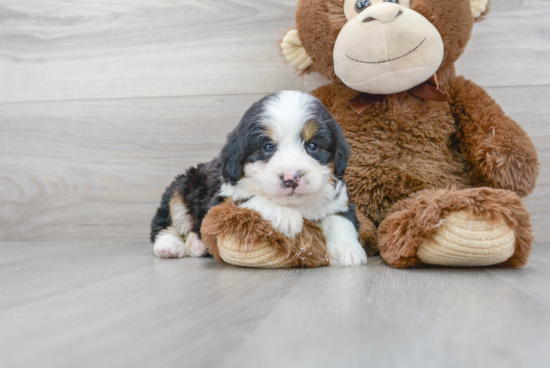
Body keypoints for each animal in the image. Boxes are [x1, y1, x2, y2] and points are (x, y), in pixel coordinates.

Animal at [149, 90, 368, 266]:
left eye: (313, 146)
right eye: (268, 147)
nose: (291, 178)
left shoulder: (339, 200)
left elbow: (340, 220)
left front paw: (347, 250)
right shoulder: (222, 199)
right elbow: (253, 199)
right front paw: (286, 216)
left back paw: (197, 245)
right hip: (181, 185)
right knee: (166, 221)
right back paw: (169, 245)